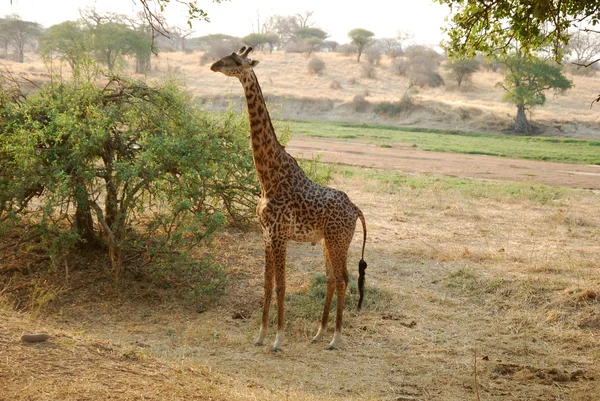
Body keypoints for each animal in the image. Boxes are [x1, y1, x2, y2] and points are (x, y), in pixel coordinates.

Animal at [213, 47, 368, 350]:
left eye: (235, 61)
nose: (214, 65)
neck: (268, 179)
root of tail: (356, 209)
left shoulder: (280, 235)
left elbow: (282, 285)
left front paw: (278, 339)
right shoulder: (265, 235)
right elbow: (267, 284)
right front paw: (261, 336)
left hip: (338, 241)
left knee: (343, 279)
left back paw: (335, 338)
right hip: (326, 242)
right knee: (332, 279)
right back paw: (319, 333)